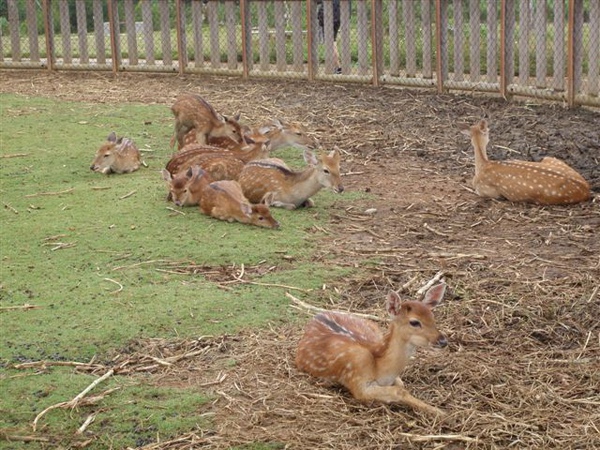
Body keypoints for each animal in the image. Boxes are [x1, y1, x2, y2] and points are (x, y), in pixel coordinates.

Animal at [298, 284, 448, 416]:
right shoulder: (358, 382)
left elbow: (401, 385)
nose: (442, 341)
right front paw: (440, 412)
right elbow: (399, 391)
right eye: (414, 322)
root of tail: (317, 316)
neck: (380, 370)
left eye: (432, 316)